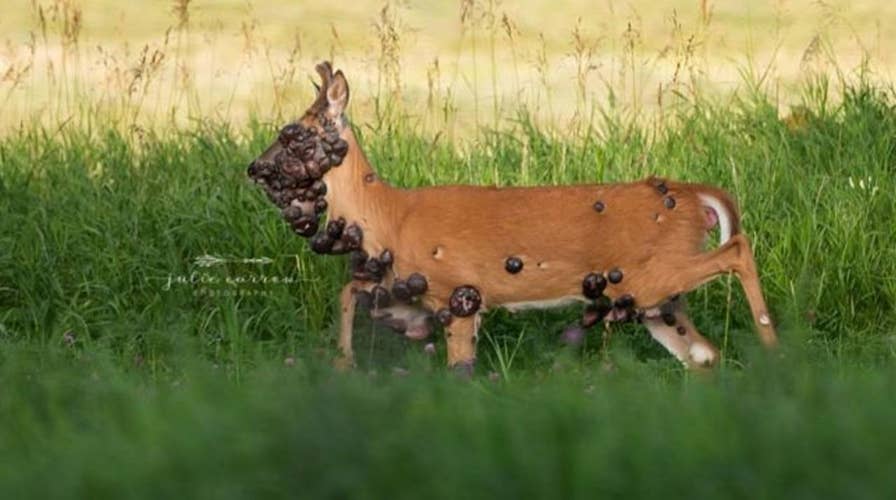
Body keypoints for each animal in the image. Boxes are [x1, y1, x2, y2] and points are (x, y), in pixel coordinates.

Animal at [246, 62, 778, 375]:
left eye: (293, 134)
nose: (254, 167)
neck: (391, 217)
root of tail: (694, 194)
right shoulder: (407, 290)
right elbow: (347, 292)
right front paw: (342, 364)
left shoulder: (455, 288)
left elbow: (459, 371)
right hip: (653, 299)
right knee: (703, 355)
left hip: (652, 275)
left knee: (738, 250)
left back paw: (775, 349)